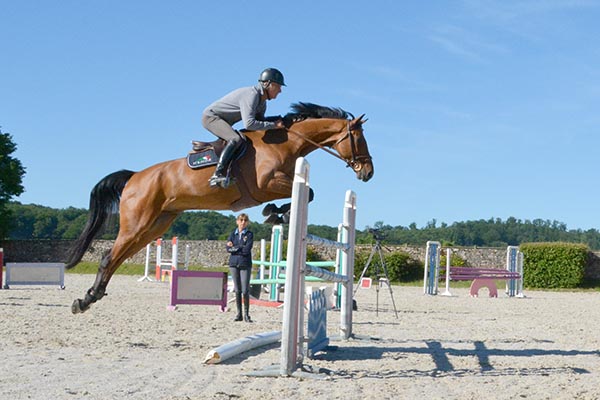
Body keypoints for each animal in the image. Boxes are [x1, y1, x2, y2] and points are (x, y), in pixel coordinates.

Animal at [68, 101, 372, 314]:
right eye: (359, 138)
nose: (368, 172)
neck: (287, 143)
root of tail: (134, 176)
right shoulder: (267, 183)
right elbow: (307, 192)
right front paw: (276, 212)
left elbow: (307, 193)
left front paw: (276, 212)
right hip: (137, 223)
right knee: (109, 256)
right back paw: (86, 300)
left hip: (155, 225)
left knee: (117, 257)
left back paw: (90, 297)